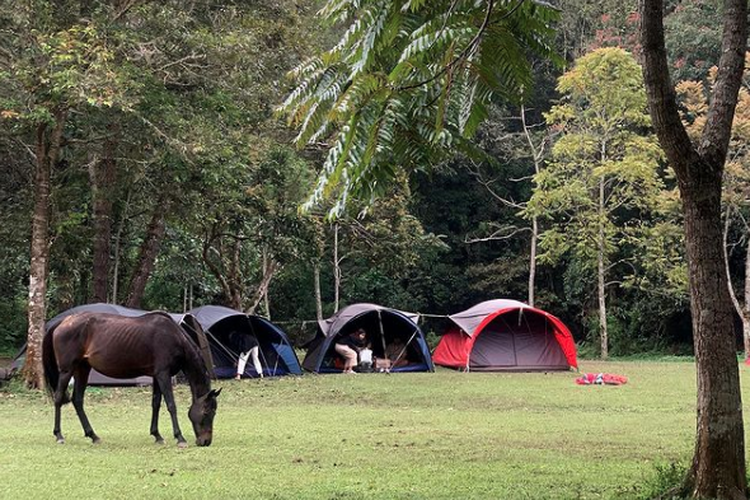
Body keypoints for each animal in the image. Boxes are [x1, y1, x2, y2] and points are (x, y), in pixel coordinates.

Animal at [42, 310, 220, 448]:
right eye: (207, 412)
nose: (205, 441)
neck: (173, 337)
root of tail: (63, 322)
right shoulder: (164, 374)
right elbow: (171, 405)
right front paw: (180, 438)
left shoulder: (157, 376)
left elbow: (156, 404)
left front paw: (157, 435)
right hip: (67, 370)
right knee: (58, 398)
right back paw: (59, 435)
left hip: (83, 369)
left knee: (78, 400)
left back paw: (93, 436)